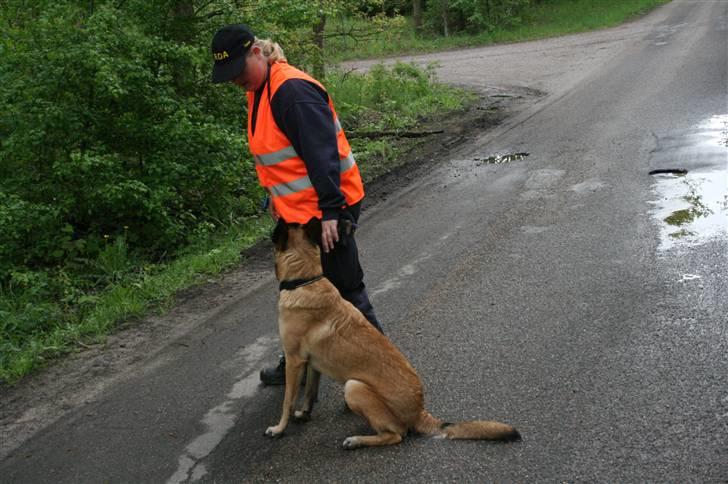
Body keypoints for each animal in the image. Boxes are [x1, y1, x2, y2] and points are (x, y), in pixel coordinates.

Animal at [264, 220, 520, 450]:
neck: (304, 279)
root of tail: (419, 412)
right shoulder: (312, 363)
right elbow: (309, 393)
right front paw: (304, 414)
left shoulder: (295, 361)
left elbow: (287, 401)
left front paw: (279, 428)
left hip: (354, 387)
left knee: (396, 435)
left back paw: (357, 441)